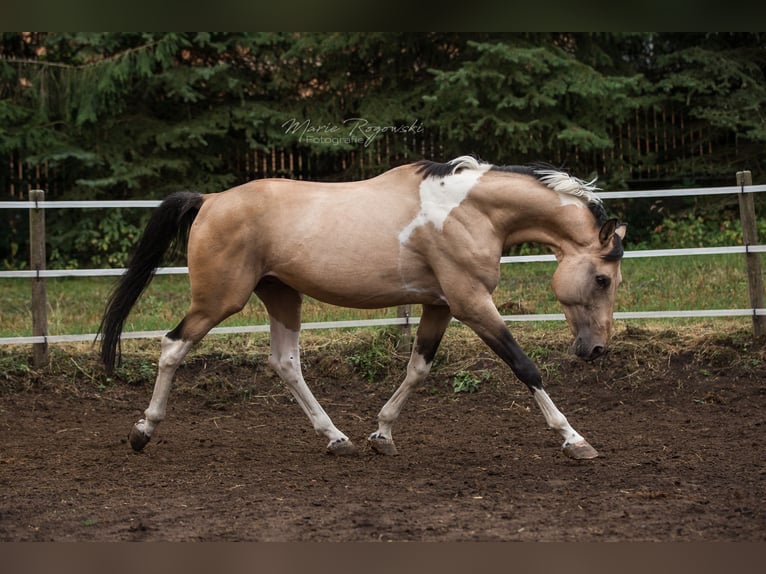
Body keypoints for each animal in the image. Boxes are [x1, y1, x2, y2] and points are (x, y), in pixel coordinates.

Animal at [99, 155, 626, 460]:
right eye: (602, 278)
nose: (597, 349)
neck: (470, 211)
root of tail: (209, 201)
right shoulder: (472, 302)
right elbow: (524, 366)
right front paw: (575, 440)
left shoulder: (439, 305)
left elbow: (417, 369)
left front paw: (382, 435)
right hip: (218, 300)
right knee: (173, 347)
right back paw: (143, 431)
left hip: (282, 295)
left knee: (285, 362)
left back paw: (336, 438)